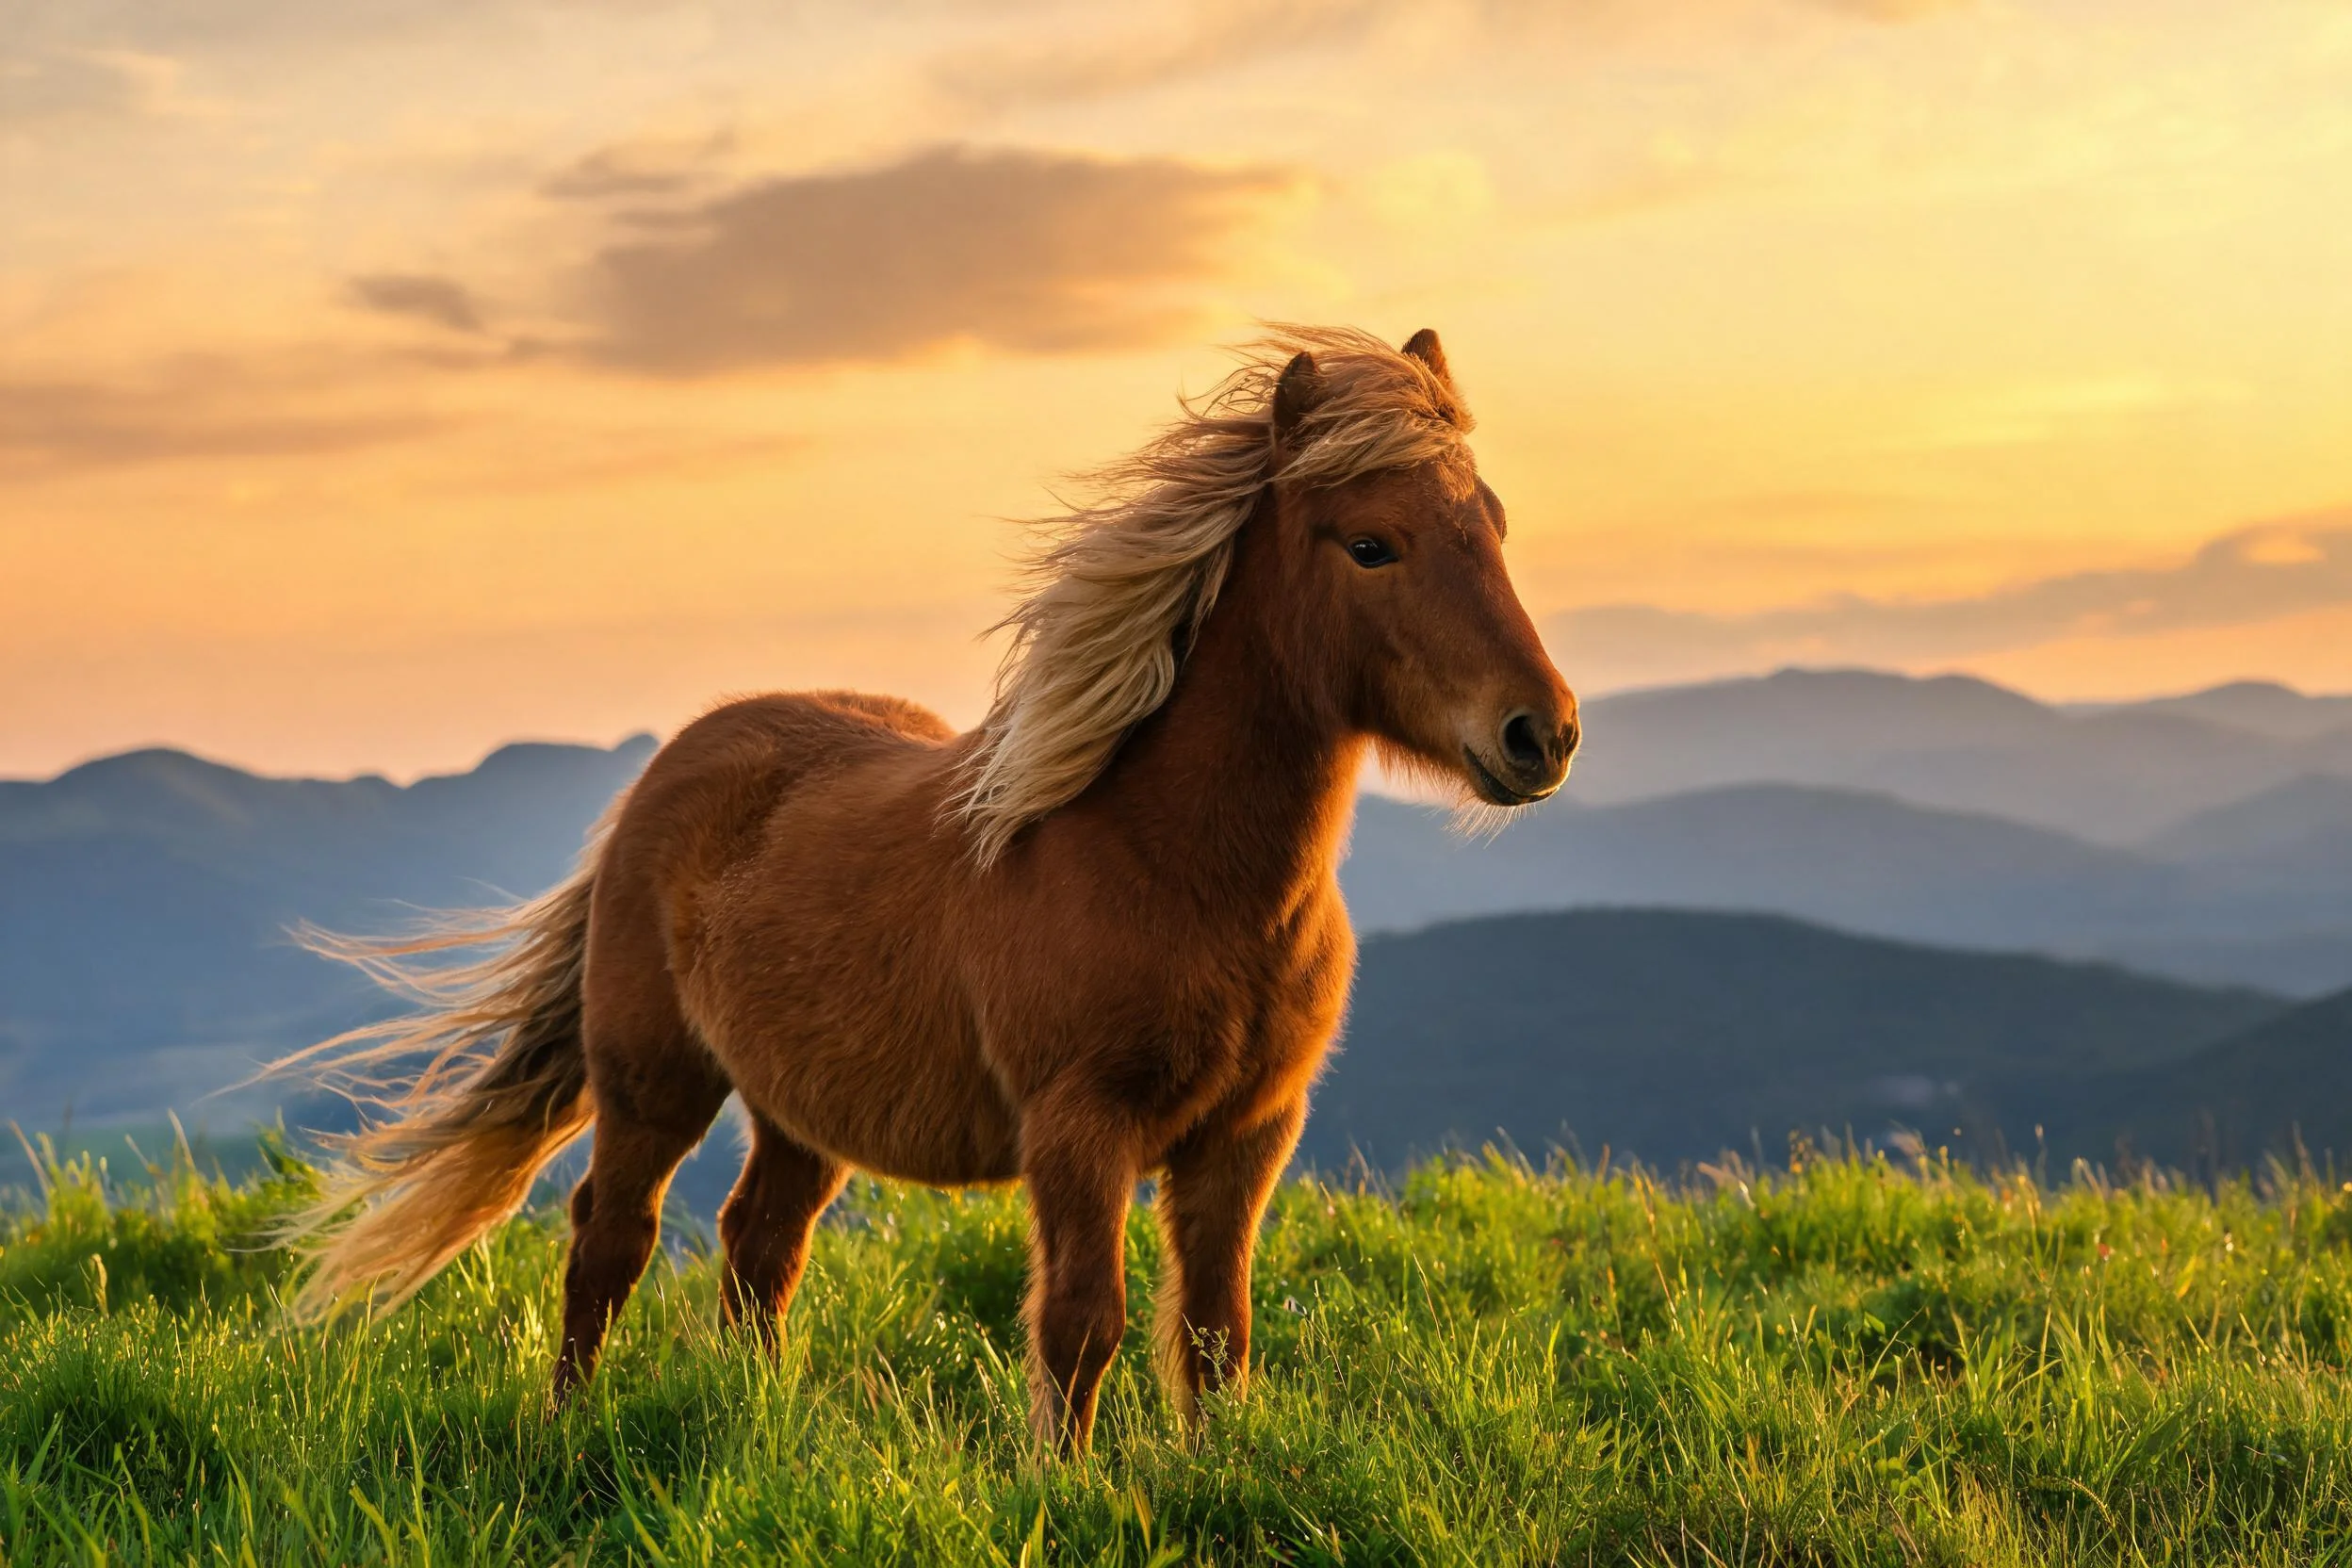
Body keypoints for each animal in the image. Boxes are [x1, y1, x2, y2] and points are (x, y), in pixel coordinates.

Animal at [278, 325, 1579, 1453]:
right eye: (1371, 544)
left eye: (1495, 524)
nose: (1543, 734)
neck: (1175, 869)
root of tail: (670, 765)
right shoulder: (1079, 1128)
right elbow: (1083, 1320)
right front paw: (1068, 1485)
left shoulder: (1249, 1133)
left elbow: (1216, 1332)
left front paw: (1219, 1470)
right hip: (654, 1082)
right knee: (612, 1236)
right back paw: (568, 1424)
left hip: (798, 1107)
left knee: (759, 1246)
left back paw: (760, 1428)